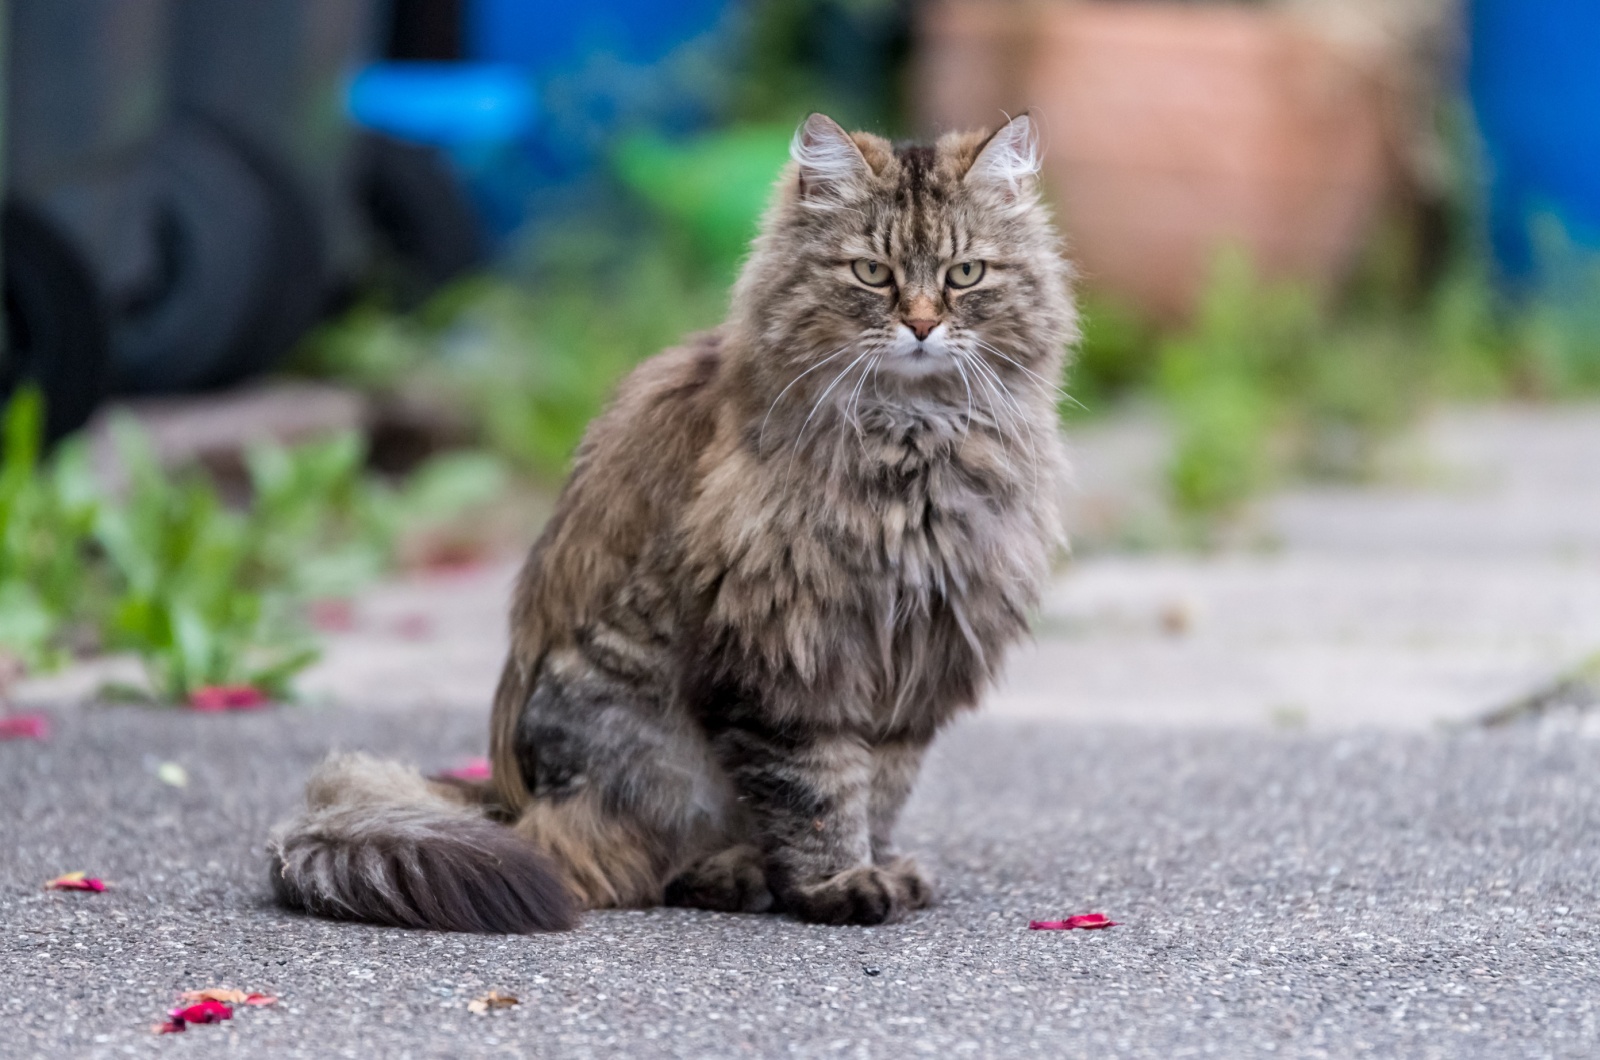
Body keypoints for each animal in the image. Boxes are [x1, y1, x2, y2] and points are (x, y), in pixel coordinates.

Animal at [268, 112, 1075, 935]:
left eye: (964, 274)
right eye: (871, 274)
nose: (920, 324)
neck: (914, 442)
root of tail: (508, 802)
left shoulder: (916, 664)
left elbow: (880, 789)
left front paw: (879, 866)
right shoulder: (786, 660)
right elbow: (819, 792)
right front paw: (839, 885)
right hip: (645, 737)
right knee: (622, 861)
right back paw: (735, 875)